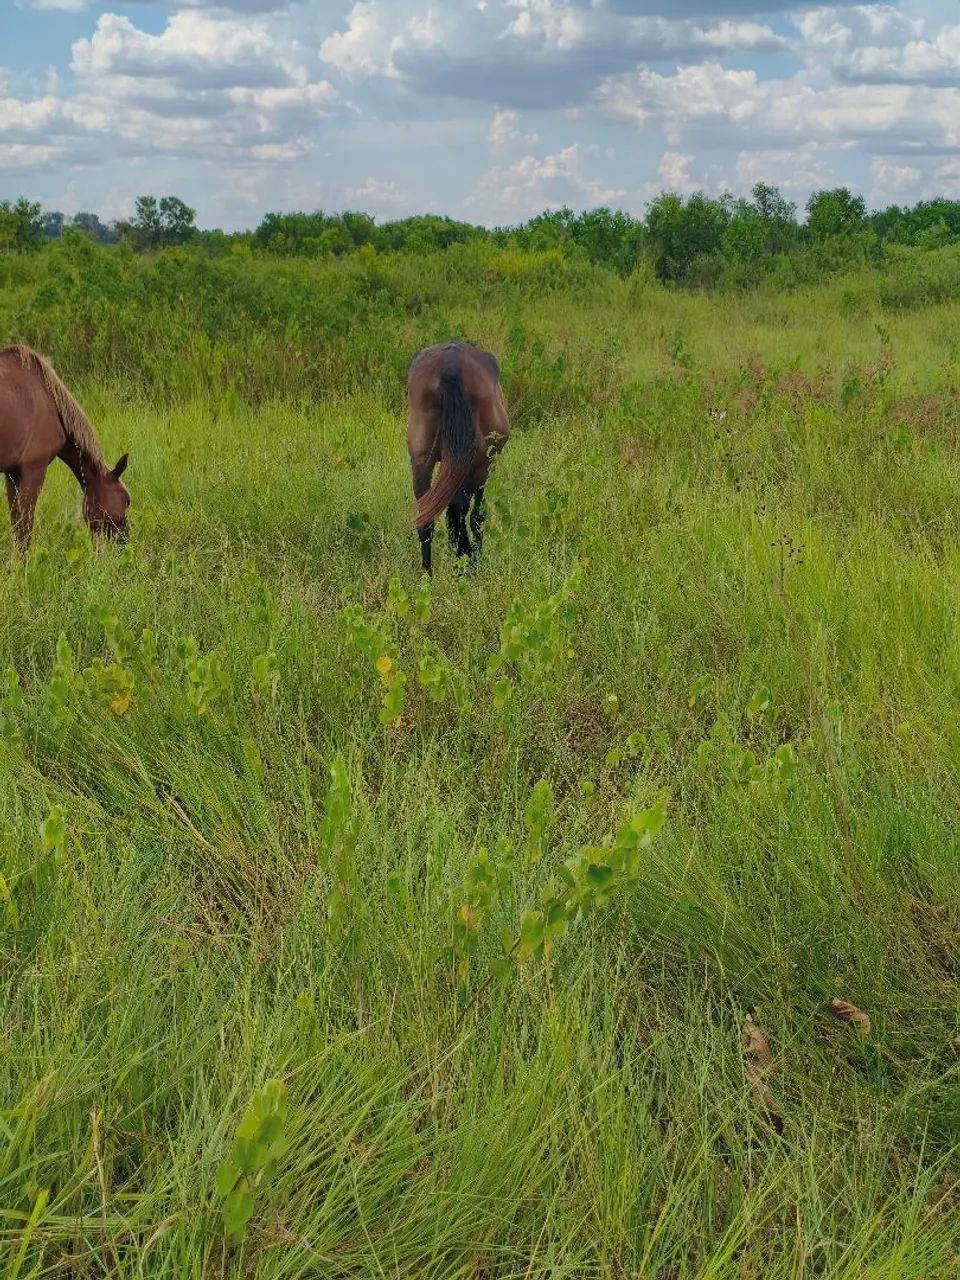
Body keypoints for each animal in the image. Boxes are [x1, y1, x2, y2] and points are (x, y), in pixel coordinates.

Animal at [0, 345, 130, 552]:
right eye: (126, 499)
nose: (124, 542)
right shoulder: (33, 469)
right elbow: (25, 528)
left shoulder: (12, 473)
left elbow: (16, 524)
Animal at [406, 341, 509, 575]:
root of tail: (450, 365)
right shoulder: (483, 468)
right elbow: (476, 516)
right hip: (475, 464)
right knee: (460, 509)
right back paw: (466, 563)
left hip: (421, 461)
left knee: (426, 515)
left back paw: (428, 575)